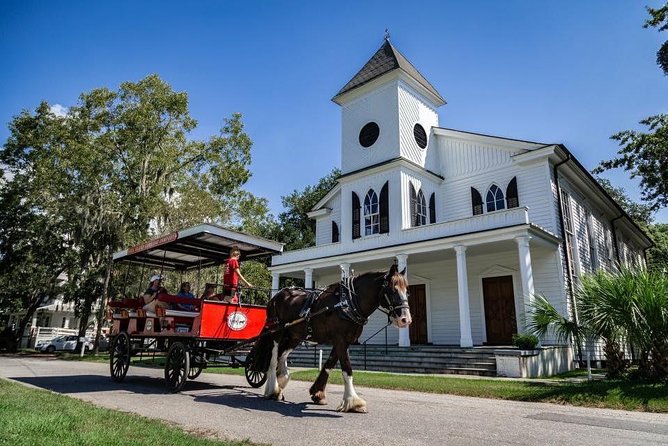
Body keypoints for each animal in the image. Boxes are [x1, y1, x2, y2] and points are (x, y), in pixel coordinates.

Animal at [253, 264, 410, 412]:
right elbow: (347, 369)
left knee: (282, 356)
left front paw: (318, 393)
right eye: (393, 289)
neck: (347, 303)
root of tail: (275, 296)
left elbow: (329, 365)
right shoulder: (340, 340)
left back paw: (280, 383)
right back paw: (272, 389)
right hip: (277, 333)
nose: (405, 319)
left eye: (407, 290)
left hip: (294, 336)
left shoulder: (344, 341)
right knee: (273, 358)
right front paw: (353, 402)